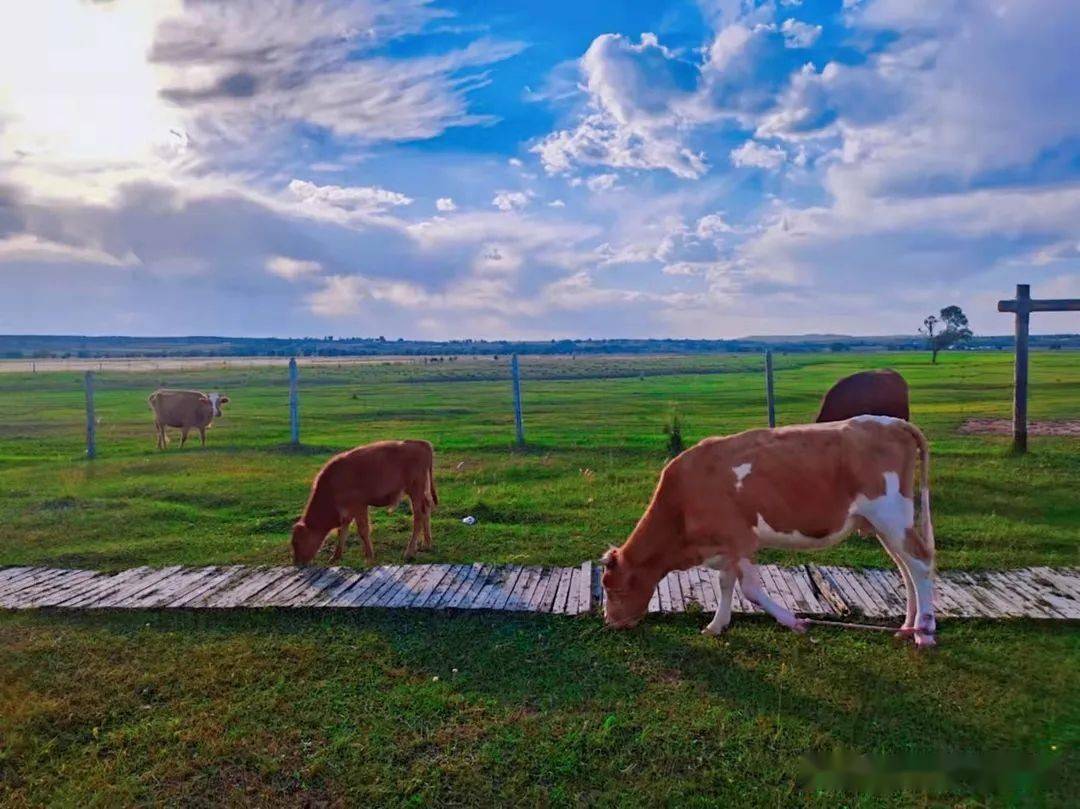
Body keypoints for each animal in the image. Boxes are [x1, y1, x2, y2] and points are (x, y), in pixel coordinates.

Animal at [291, 438, 438, 565]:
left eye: (297, 542)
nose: (297, 563)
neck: (332, 483)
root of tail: (421, 443)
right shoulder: (347, 512)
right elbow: (342, 532)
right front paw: (335, 557)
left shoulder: (359, 506)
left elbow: (363, 530)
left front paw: (369, 557)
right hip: (419, 492)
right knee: (426, 510)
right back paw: (427, 544)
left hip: (415, 491)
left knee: (418, 517)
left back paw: (409, 552)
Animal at [600, 419, 937, 648]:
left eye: (613, 589)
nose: (610, 622)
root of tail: (890, 421)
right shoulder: (727, 547)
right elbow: (725, 584)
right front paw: (717, 625)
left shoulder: (741, 540)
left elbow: (749, 589)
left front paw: (793, 622)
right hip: (884, 524)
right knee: (905, 568)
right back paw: (907, 627)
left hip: (890, 515)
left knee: (920, 562)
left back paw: (925, 632)